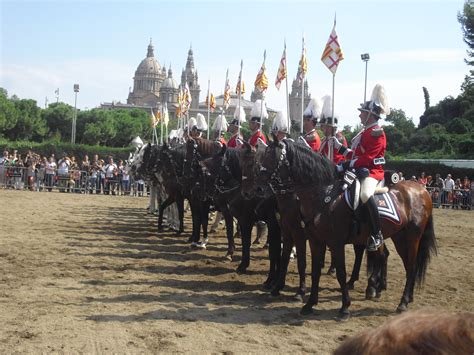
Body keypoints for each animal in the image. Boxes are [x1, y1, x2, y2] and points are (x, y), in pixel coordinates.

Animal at [260, 138, 436, 322]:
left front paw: (344, 307)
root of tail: (422, 190)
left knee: (410, 266)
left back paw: (399, 301)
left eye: (271, 156)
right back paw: (399, 295)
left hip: (412, 237)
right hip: (398, 237)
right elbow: (314, 270)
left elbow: (340, 273)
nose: (260, 182)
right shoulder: (313, 240)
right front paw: (309, 304)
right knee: (403, 264)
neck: (324, 195)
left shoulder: (332, 241)